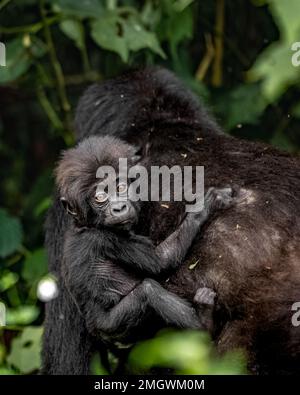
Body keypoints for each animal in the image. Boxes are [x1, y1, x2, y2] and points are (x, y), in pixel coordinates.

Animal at [56, 138, 234, 344]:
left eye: (120, 188)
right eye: (99, 197)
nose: (119, 207)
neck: (85, 225)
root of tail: (95, 330)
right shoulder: (106, 238)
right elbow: (160, 261)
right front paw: (206, 205)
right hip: (112, 327)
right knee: (148, 292)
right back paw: (204, 325)